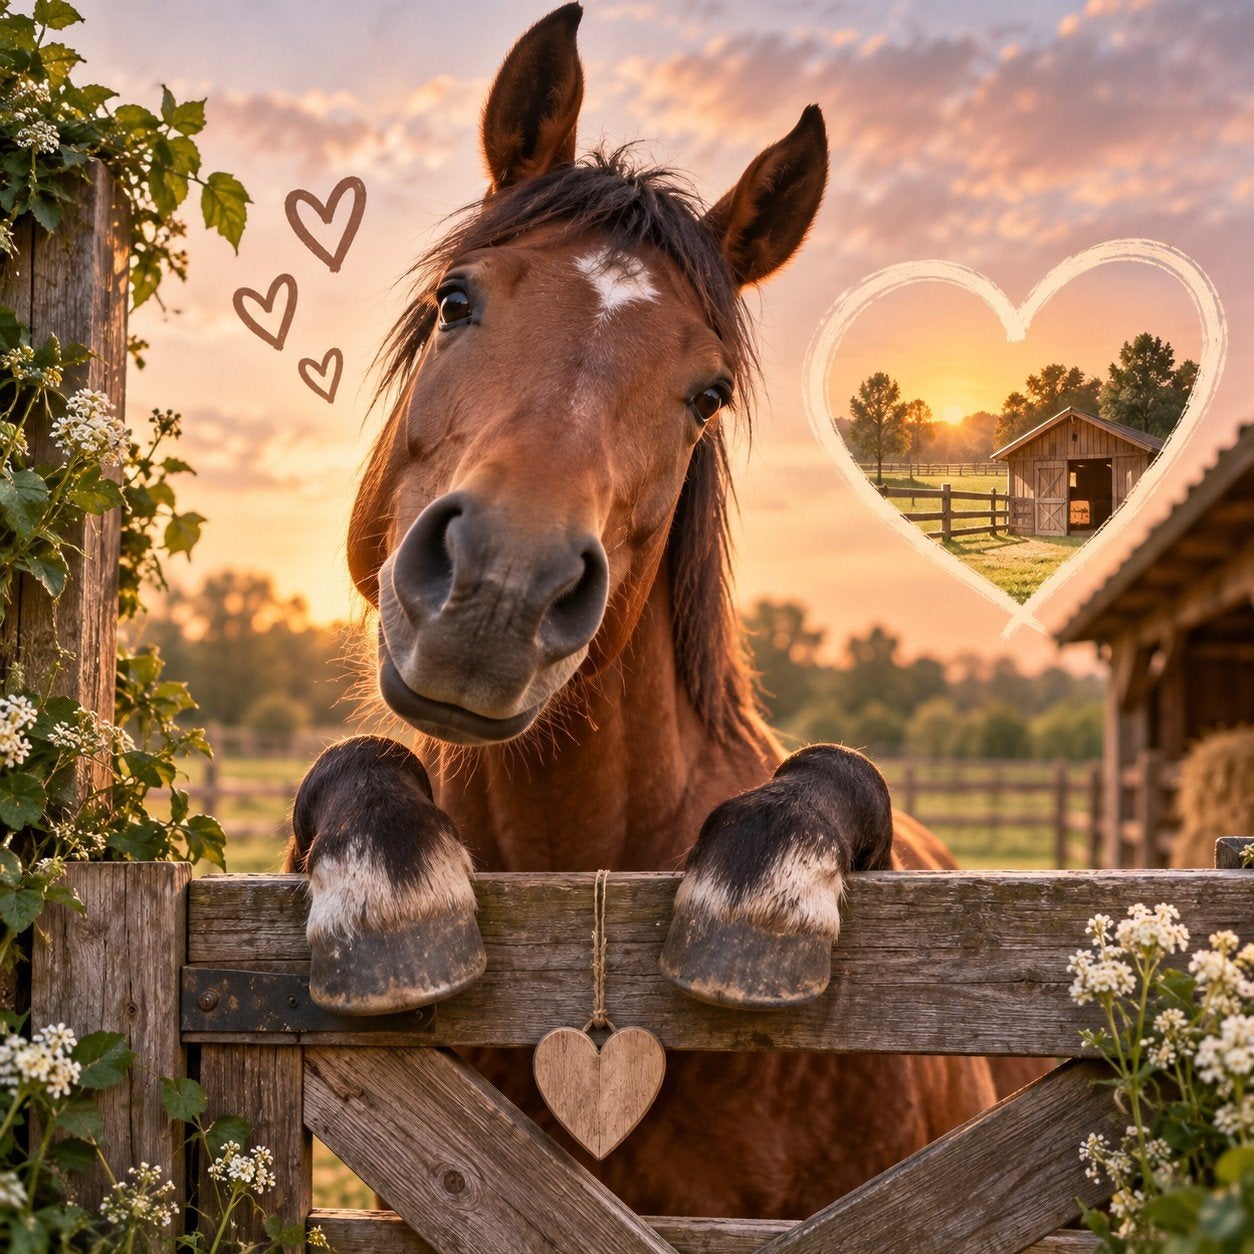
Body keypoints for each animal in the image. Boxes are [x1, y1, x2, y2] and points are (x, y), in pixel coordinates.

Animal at [286, 3, 1037, 1219]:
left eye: (708, 393)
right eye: (457, 301)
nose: (502, 586)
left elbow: (837, 778)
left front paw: (758, 901)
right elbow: (351, 766)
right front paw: (389, 896)